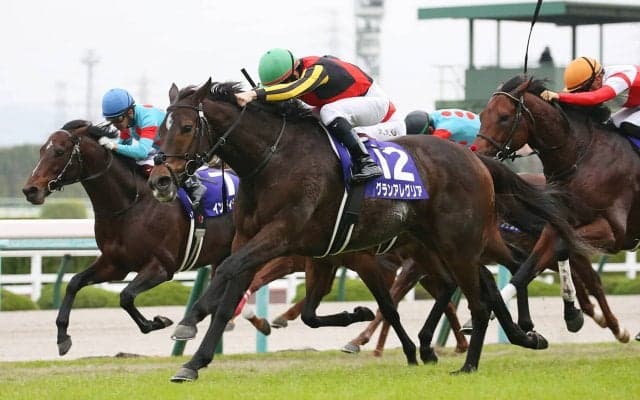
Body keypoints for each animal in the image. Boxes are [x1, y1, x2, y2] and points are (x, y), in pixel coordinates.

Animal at [148, 79, 578, 381]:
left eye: (185, 127)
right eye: (161, 130)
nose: (160, 180)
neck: (273, 159)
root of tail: (475, 158)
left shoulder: (282, 235)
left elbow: (229, 269)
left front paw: (190, 322)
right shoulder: (268, 241)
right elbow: (237, 292)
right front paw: (193, 361)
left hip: (460, 241)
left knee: (485, 292)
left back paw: (474, 361)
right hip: (443, 243)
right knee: (486, 282)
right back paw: (522, 336)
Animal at [472, 74, 634, 342]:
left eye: (504, 117)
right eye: (483, 115)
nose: (476, 152)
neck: (578, 159)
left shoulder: (612, 232)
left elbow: (565, 252)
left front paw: (590, 318)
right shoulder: (557, 223)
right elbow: (528, 267)